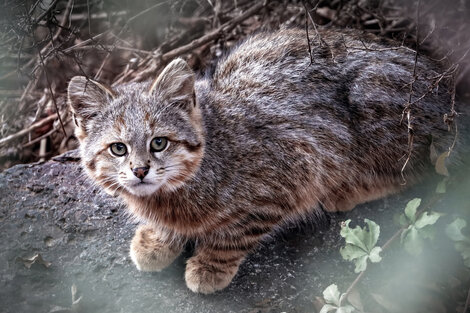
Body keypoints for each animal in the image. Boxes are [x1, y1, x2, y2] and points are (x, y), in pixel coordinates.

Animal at [67, 27, 458, 292]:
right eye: (118, 149)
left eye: (159, 142)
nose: (140, 170)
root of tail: (443, 90)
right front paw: (156, 238)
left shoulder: (299, 168)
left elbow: (237, 232)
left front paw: (209, 266)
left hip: (375, 108)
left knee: (421, 171)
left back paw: (348, 191)